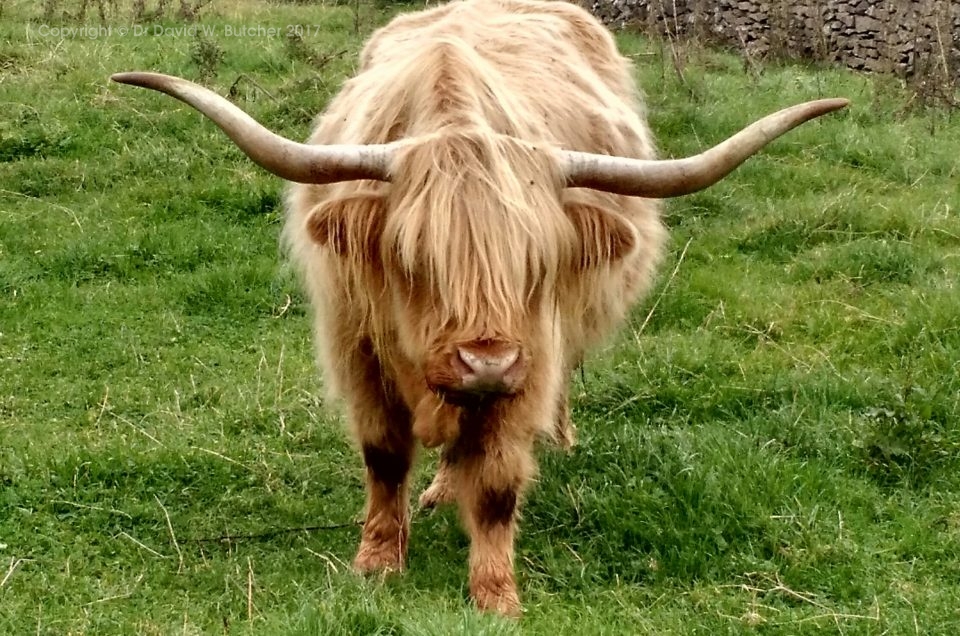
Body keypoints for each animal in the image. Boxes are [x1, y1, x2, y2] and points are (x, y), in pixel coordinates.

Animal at [112, 0, 848, 616]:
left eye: (536, 262)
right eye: (415, 258)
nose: (485, 362)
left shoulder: (531, 362)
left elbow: (497, 485)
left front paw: (496, 595)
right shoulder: (357, 348)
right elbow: (384, 456)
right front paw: (377, 561)